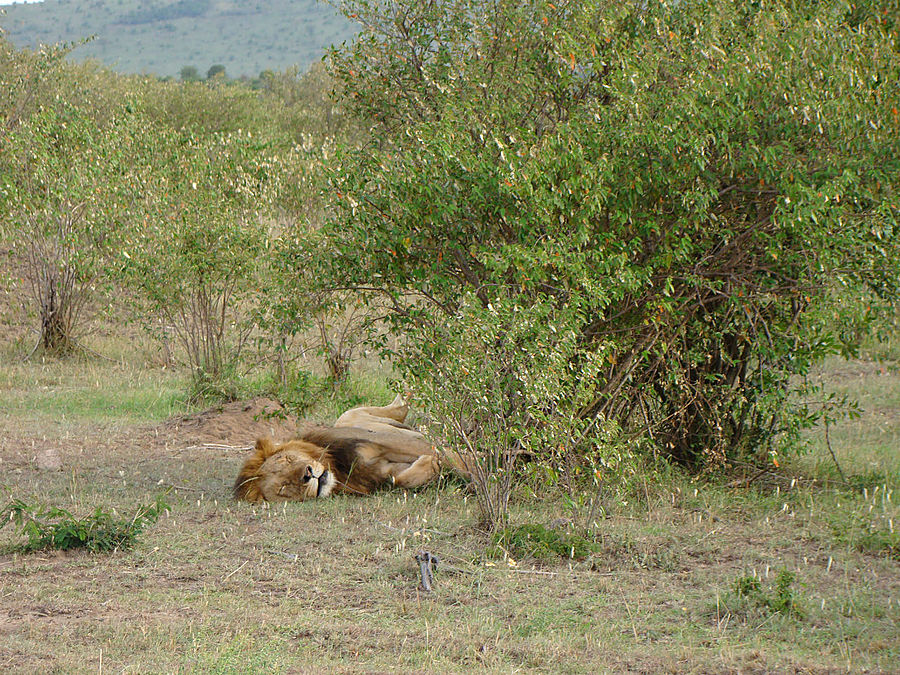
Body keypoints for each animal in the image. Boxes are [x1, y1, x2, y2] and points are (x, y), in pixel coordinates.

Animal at [234, 396, 458, 502]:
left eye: (288, 459)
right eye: (283, 487)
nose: (308, 474)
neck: (339, 469)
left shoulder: (388, 442)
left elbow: (451, 456)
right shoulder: (378, 474)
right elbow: (401, 479)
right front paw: (431, 465)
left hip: (348, 418)